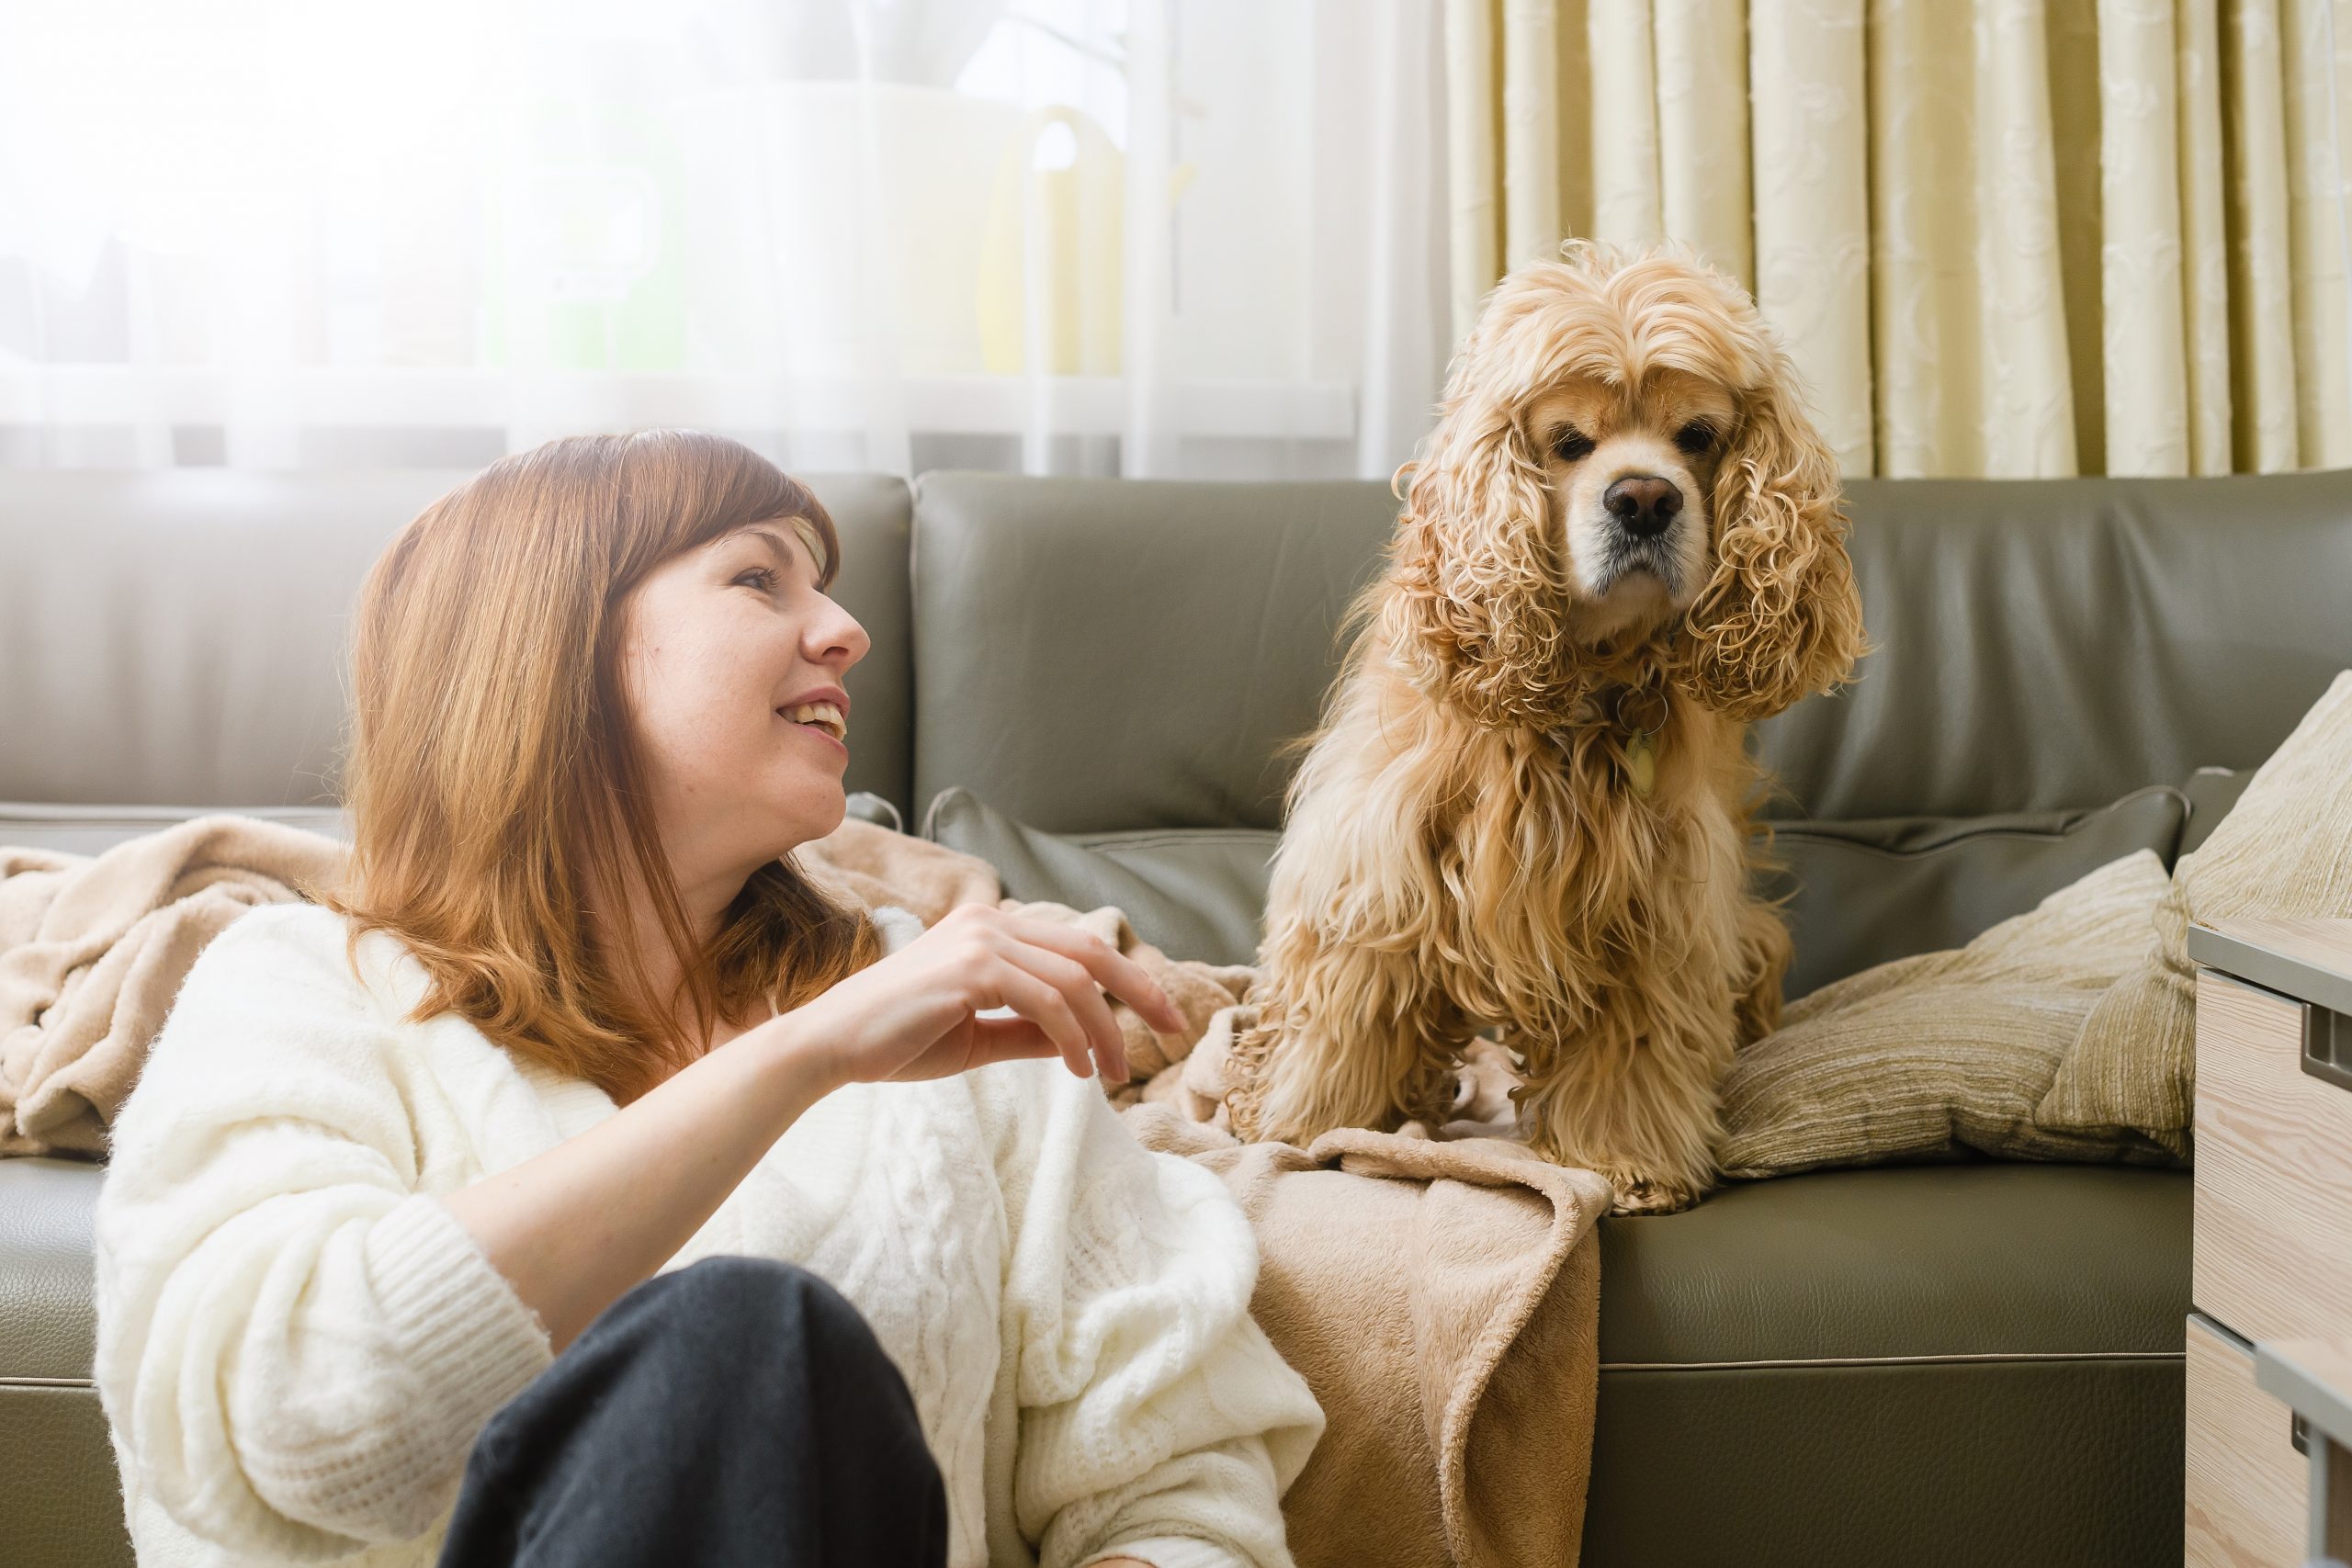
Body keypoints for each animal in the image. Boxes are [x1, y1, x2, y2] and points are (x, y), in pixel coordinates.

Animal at [1223, 240, 1862, 1213]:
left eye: (1697, 436)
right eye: (1568, 443)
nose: (1644, 500)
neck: (1585, 687)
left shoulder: (1654, 908)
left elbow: (1632, 1048)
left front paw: (1628, 1161)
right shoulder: (1377, 870)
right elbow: (1345, 1019)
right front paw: (1299, 1130)